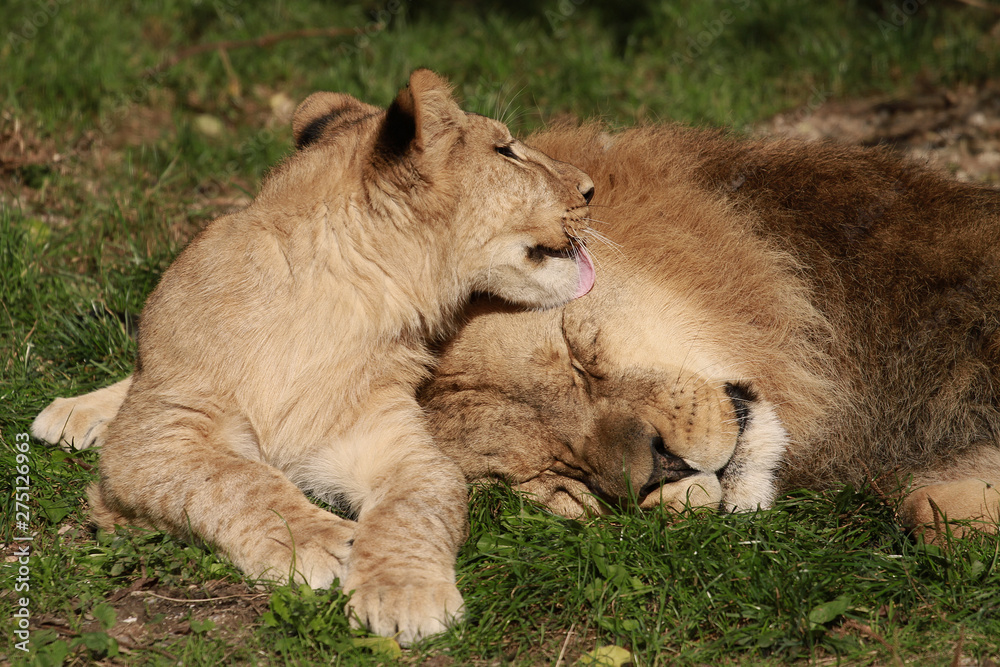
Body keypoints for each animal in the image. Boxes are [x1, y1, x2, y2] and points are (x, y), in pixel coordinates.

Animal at [30, 69, 597, 645]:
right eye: (506, 151)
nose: (590, 190)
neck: (338, 302)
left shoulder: (396, 444)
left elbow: (413, 508)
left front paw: (403, 592)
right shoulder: (153, 437)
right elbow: (235, 479)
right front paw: (319, 541)